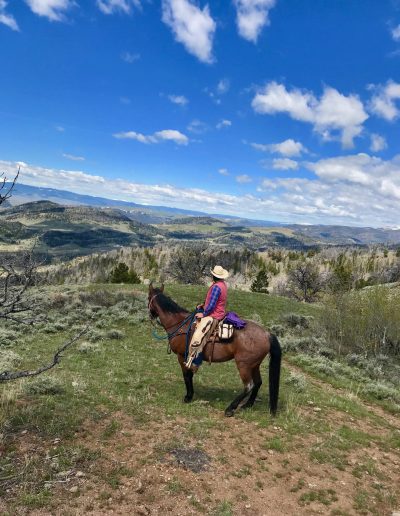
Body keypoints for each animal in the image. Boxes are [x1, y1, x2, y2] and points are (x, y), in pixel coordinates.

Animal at [148, 284, 282, 418]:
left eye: (148, 297)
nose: (151, 315)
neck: (179, 324)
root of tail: (267, 334)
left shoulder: (182, 356)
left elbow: (187, 375)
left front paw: (188, 397)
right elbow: (190, 374)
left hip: (244, 365)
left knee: (249, 385)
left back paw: (230, 409)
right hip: (254, 365)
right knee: (258, 382)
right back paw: (247, 405)